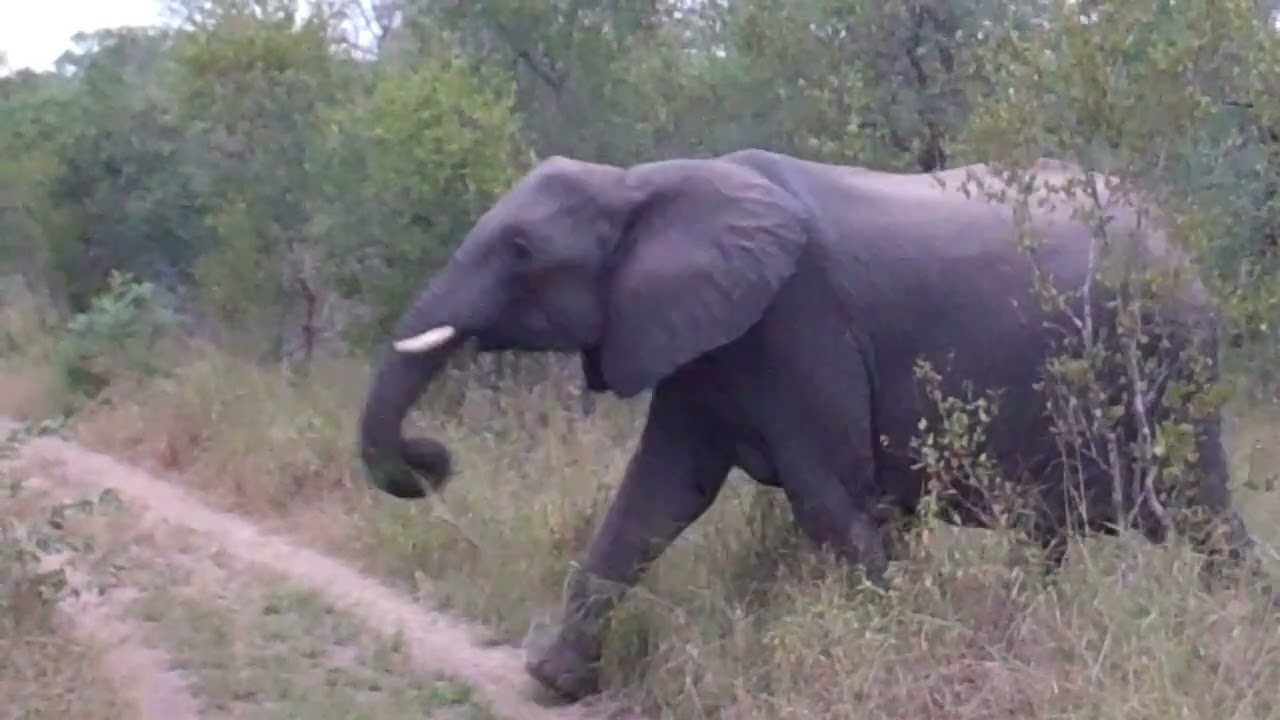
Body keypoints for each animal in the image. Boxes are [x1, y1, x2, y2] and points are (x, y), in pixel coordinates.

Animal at [357, 148, 1267, 702]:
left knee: (1201, 517)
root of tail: (1185, 251)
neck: (644, 184)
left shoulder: (798, 323)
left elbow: (831, 502)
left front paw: (898, 659)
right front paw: (554, 682)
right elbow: (658, 496)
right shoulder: (706, 341)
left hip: (1171, 367)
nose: (434, 459)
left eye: (518, 249)